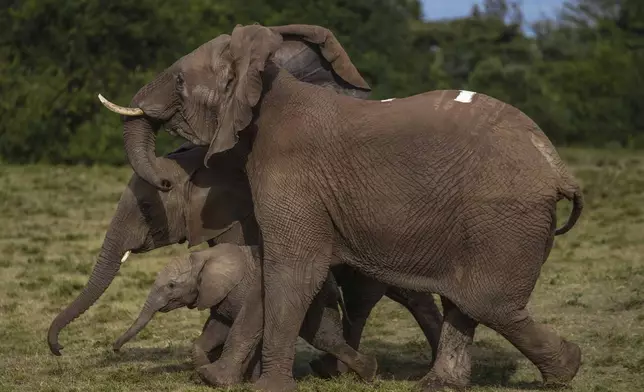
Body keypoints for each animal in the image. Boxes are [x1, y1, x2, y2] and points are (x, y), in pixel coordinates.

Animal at [112, 243, 378, 384]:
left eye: (171, 285)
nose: (114, 349)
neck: (203, 257)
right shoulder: (221, 296)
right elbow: (217, 328)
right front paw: (203, 373)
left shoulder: (240, 289)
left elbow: (231, 328)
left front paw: (214, 377)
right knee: (325, 337)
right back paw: (366, 372)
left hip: (317, 299)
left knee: (321, 336)